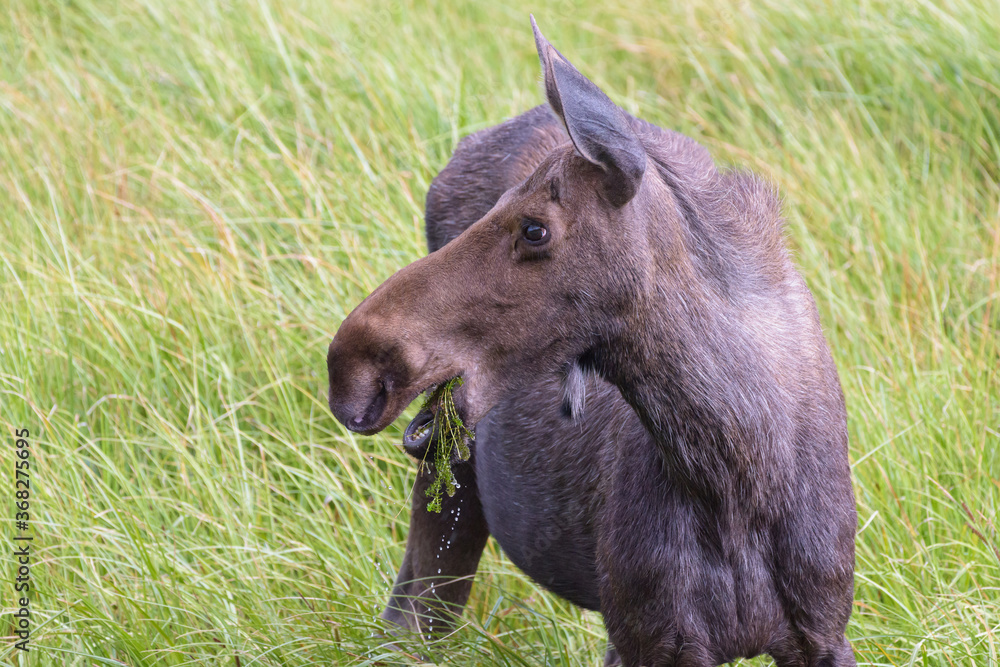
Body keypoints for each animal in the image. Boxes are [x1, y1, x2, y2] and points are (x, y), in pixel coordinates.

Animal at [327, 17, 857, 667]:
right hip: (449, 476)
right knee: (412, 614)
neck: (737, 474)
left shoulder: (822, 631)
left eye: (534, 228)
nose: (352, 366)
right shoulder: (646, 636)